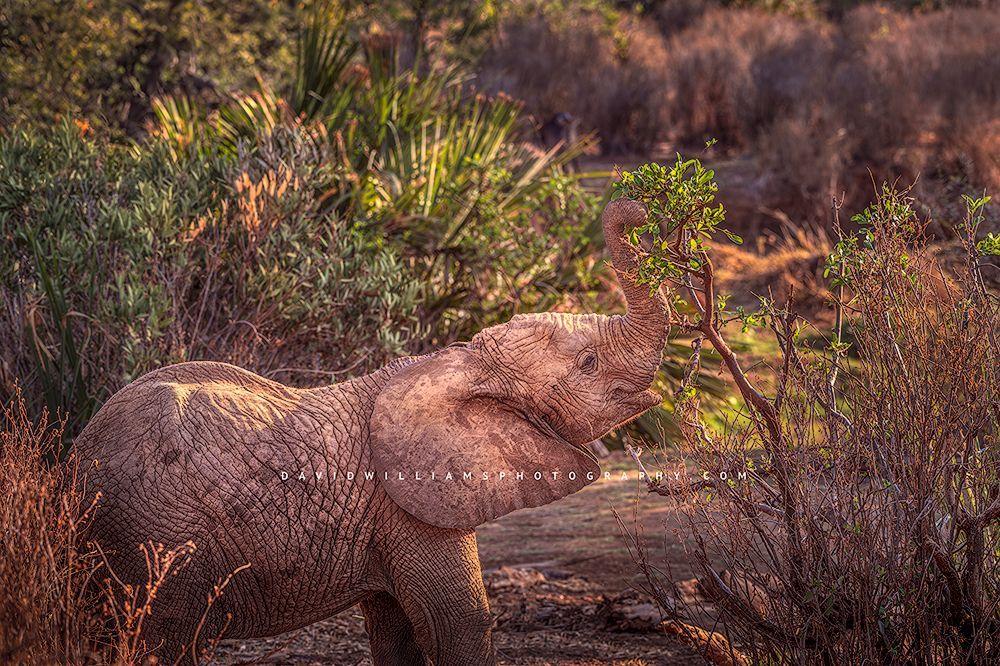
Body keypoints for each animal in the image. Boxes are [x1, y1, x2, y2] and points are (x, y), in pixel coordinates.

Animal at [73, 198, 668, 665]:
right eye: (589, 363)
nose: (637, 210)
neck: (460, 363)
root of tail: (76, 458)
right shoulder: (410, 504)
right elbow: (458, 623)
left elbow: (396, 631)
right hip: (156, 537)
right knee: (163, 642)